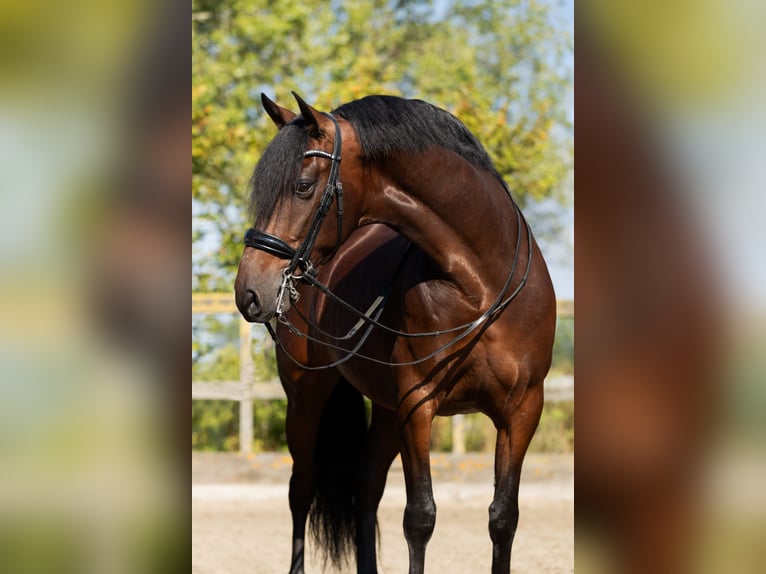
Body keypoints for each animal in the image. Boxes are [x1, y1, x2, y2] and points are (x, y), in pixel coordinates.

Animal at [236, 94, 560, 574]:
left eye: (303, 186)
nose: (249, 291)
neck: (480, 282)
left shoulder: (521, 412)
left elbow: (503, 518)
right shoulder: (418, 405)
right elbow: (420, 517)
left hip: (387, 411)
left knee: (366, 484)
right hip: (307, 396)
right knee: (302, 490)